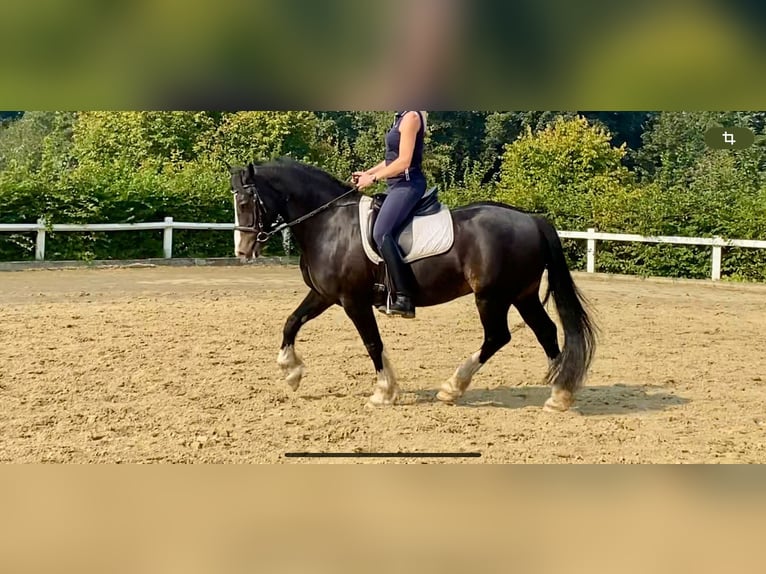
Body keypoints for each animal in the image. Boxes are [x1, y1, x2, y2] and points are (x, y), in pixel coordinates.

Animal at [230, 158, 600, 412]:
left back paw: (453, 387)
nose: (243, 251)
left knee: (498, 336)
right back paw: (559, 394)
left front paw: (383, 392)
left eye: (246, 203)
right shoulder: (324, 294)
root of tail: (532, 220)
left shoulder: (352, 300)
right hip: (522, 294)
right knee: (546, 331)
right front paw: (291, 372)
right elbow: (292, 322)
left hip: (491, 297)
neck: (329, 224)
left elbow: (372, 343)